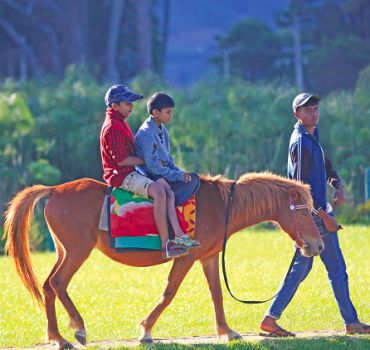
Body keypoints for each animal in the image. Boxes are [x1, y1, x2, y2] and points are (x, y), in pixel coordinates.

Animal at [3, 172, 324, 348]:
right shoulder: (186, 257)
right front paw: (146, 330)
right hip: (78, 250)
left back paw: (57, 337)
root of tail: (54, 190)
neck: (223, 205)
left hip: (64, 251)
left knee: (47, 286)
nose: (318, 245)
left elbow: (217, 294)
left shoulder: (208, 257)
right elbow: (169, 292)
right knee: (58, 283)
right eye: (305, 213)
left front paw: (227, 331)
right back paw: (77, 328)